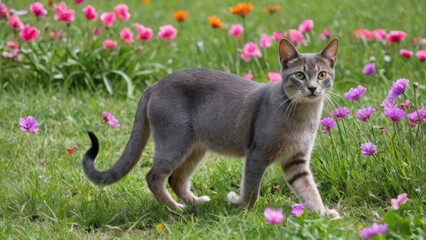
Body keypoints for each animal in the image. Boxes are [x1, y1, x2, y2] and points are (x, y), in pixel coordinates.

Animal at [82, 38, 340, 218]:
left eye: (322, 74)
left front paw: (322, 213)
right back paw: (175, 209)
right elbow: (252, 189)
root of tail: (156, 84)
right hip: (174, 142)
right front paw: (241, 207)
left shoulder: (296, 161)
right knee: (154, 176)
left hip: (196, 148)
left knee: (176, 179)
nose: (313, 88)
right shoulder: (257, 155)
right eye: (299, 75)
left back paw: (195, 203)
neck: (303, 115)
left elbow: (309, 190)